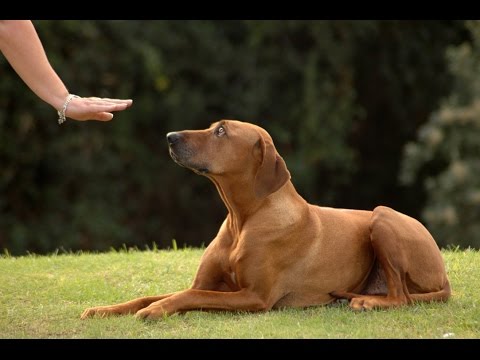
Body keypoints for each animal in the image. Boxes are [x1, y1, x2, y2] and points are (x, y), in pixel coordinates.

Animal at [81, 119, 450, 320]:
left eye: (220, 131)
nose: (170, 136)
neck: (242, 219)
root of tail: (444, 276)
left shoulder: (255, 297)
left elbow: (186, 297)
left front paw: (156, 311)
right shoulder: (206, 283)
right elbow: (152, 295)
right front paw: (103, 310)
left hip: (382, 216)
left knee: (401, 297)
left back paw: (367, 302)